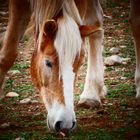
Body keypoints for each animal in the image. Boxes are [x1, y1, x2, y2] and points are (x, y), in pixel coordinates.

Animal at [0, 0, 139, 134]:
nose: (65, 124)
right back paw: (91, 94)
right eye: (48, 62)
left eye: (80, 63)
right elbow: (9, 52)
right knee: (96, 19)